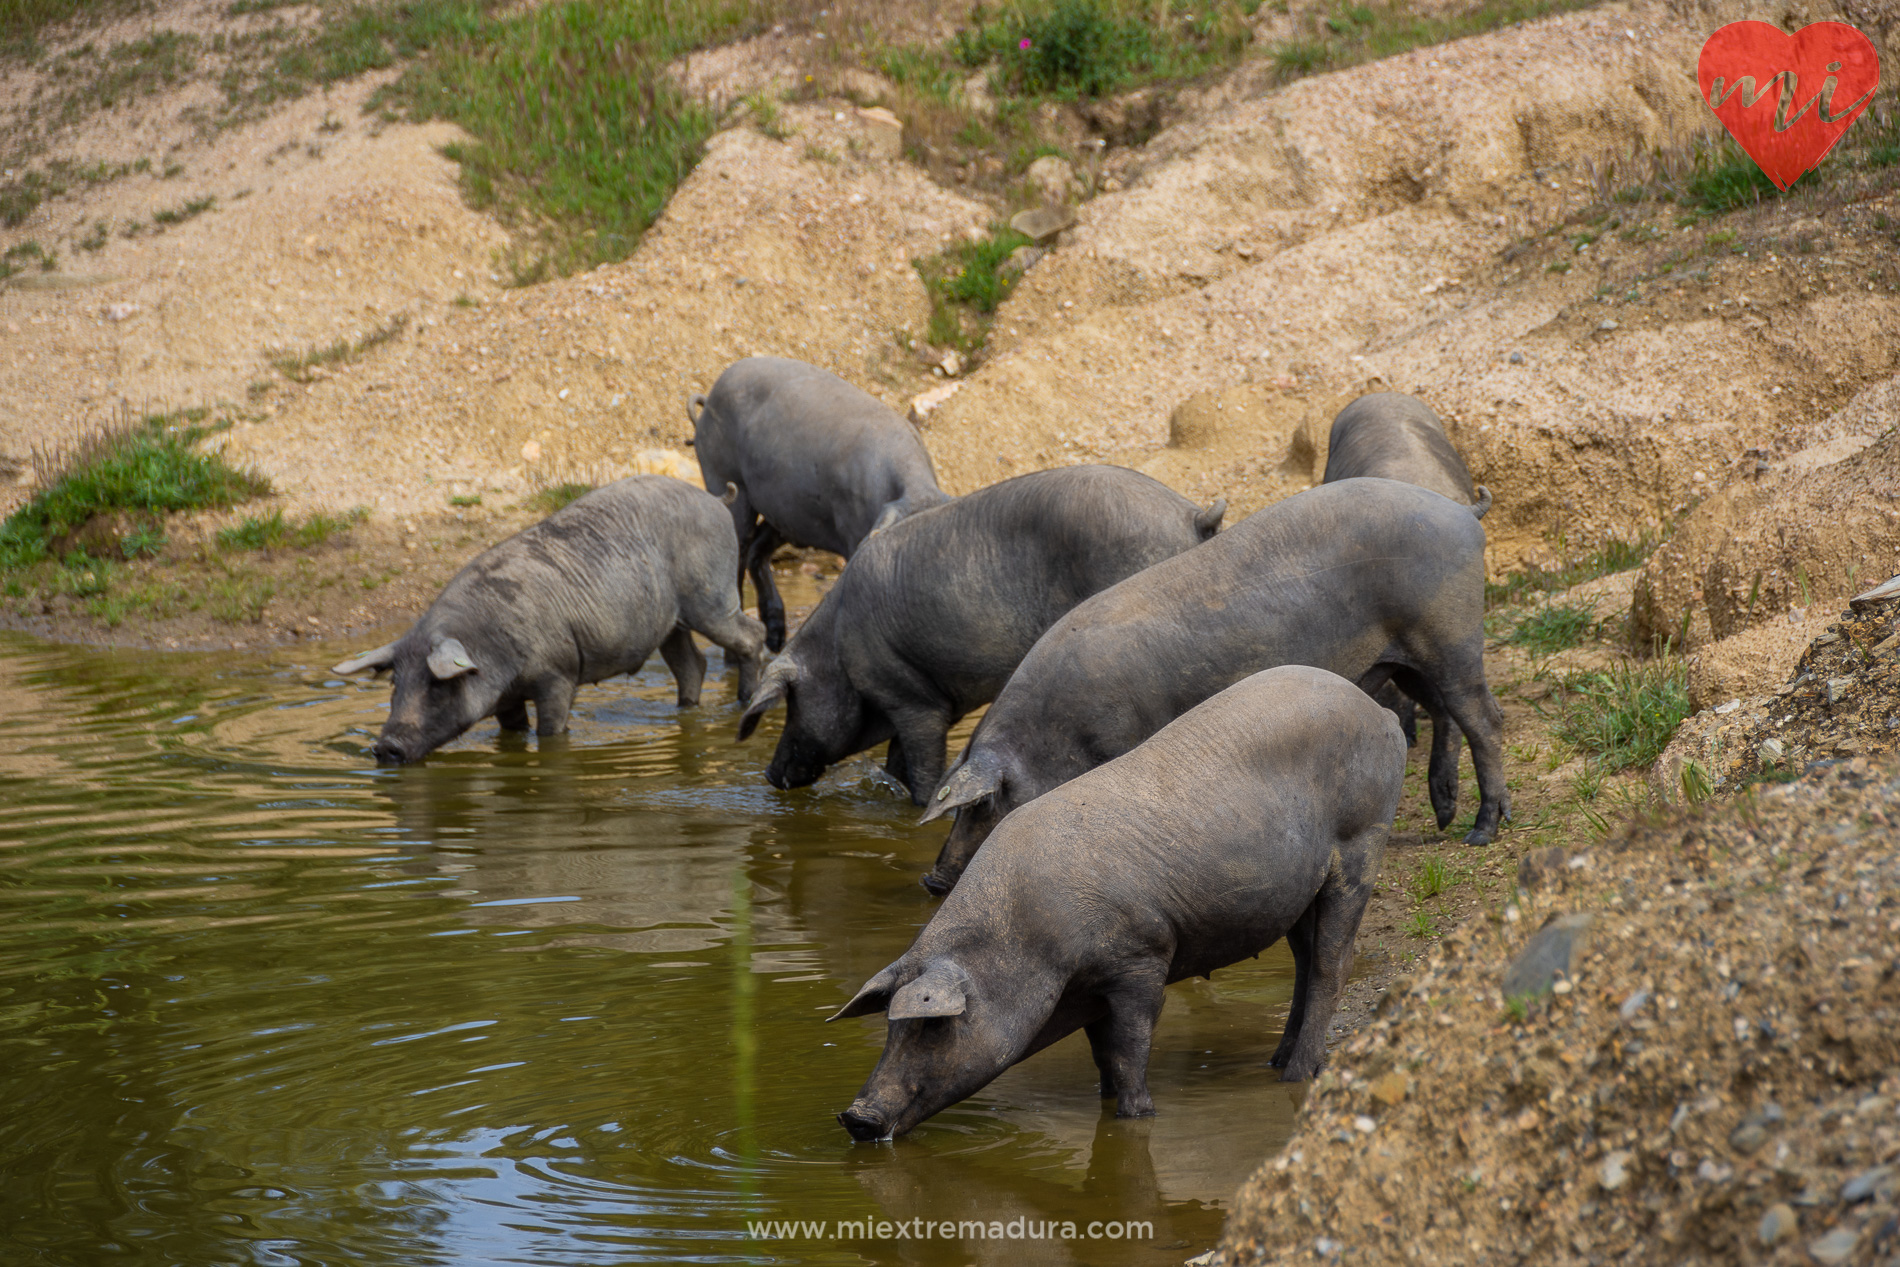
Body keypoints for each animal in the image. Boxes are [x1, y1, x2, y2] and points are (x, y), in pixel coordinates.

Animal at [332, 474, 763, 763]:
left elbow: (551, 731)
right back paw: (685, 710)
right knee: (693, 664)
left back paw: (744, 701)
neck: (490, 647)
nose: (385, 746)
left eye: (438, 686)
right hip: (671, 624)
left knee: (751, 635)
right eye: (395, 684)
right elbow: (513, 731)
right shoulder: (506, 700)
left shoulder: (558, 674)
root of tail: (713, 498)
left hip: (712, 597)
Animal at [687, 359, 946, 649]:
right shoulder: (851, 531)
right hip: (722, 476)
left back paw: (776, 638)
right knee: (740, 549)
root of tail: (708, 401)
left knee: (757, 550)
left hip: (785, 512)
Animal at [733, 465, 1223, 801]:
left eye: (790, 701)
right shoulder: (927, 700)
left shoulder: (911, 701)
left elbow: (921, 773)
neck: (837, 650)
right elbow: (895, 765)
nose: (769, 774)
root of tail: (1193, 515)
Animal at [836, 664, 1413, 1139]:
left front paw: (1136, 1114)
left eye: (933, 1025)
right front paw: (1106, 1098)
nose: (856, 1116)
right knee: (1305, 962)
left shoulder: (1142, 956)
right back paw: (1274, 1062)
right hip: (1296, 896)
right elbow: (1102, 1054)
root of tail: (1378, 711)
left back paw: (1295, 1075)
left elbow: (1130, 1046)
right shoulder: (1091, 986)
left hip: (1361, 844)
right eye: (890, 1027)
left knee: (1332, 965)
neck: (1035, 942)